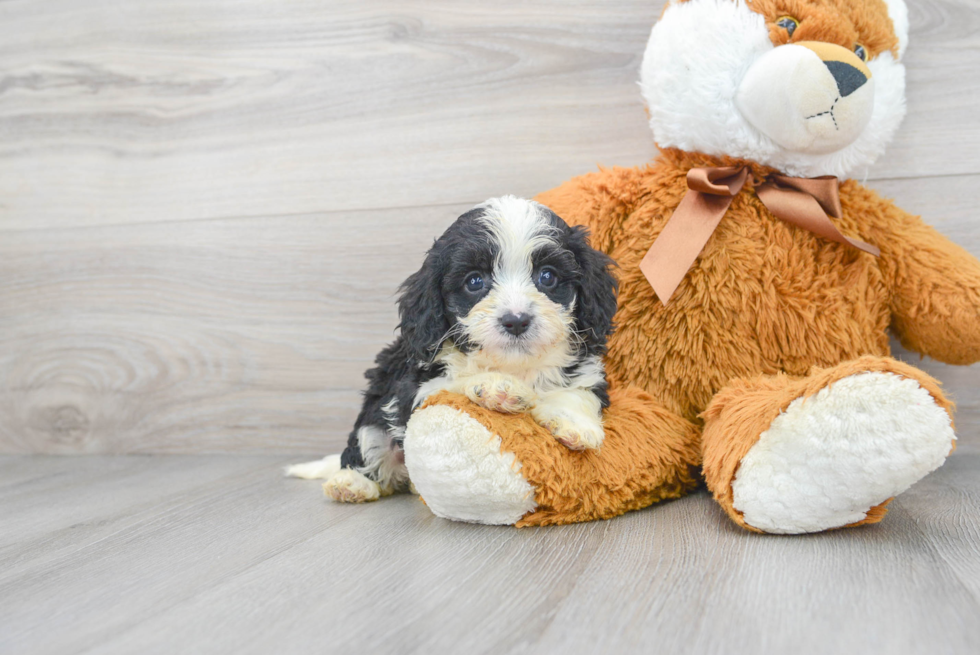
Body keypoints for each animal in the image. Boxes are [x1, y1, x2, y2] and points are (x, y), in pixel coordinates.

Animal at [288, 197, 616, 504]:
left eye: (547, 276)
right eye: (475, 281)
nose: (516, 320)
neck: (513, 364)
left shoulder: (585, 370)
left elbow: (578, 391)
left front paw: (576, 423)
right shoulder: (415, 386)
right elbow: (454, 382)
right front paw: (496, 386)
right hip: (375, 411)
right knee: (365, 445)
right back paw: (351, 483)